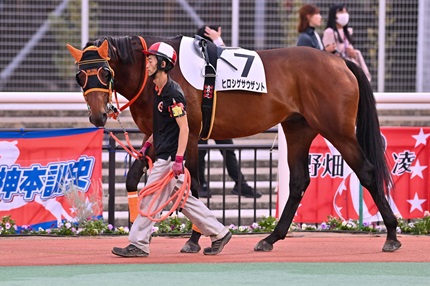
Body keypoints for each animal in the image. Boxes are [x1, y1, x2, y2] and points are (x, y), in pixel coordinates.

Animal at [65, 35, 402, 252]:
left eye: (105, 71)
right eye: (80, 76)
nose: (97, 115)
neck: (154, 75)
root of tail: (340, 62)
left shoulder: (189, 133)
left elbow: (192, 186)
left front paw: (195, 239)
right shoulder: (157, 134)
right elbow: (135, 178)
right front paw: (140, 229)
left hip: (338, 130)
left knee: (367, 172)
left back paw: (391, 235)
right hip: (298, 128)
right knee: (298, 182)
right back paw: (271, 238)